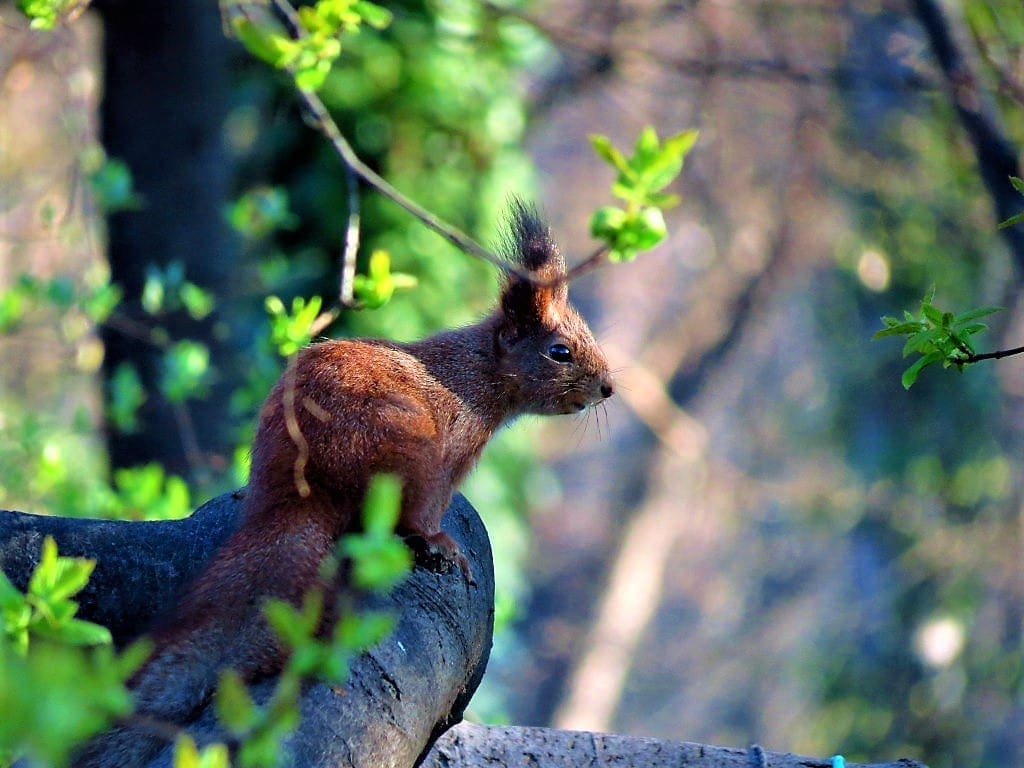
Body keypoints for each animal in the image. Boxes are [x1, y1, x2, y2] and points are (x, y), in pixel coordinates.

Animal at [75, 201, 614, 765]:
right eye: (559, 352)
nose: (608, 387)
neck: (476, 374)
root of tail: (305, 485)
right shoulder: (452, 452)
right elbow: (428, 509)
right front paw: (441, 540)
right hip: (407, 448)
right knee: (408, 515)